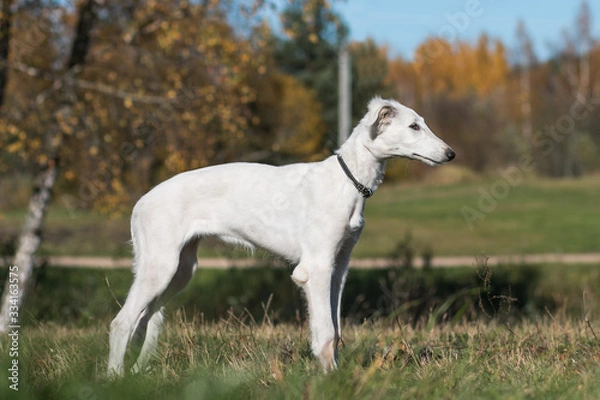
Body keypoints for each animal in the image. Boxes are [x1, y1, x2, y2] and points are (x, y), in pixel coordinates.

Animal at [108, 97, 454, 376]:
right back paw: (114, 378)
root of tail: (140, 203)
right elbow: (326, 333)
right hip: (160, 268)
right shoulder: (315, 268)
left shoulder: (338, 268)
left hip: (180, 271)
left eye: (422, 123)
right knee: (121, 322)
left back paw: (138, 373)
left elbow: (336, 330)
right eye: (414, 126)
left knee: (144, 321)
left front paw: (335, 374)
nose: (451, 153)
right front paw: (330, 380)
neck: (347, 180)